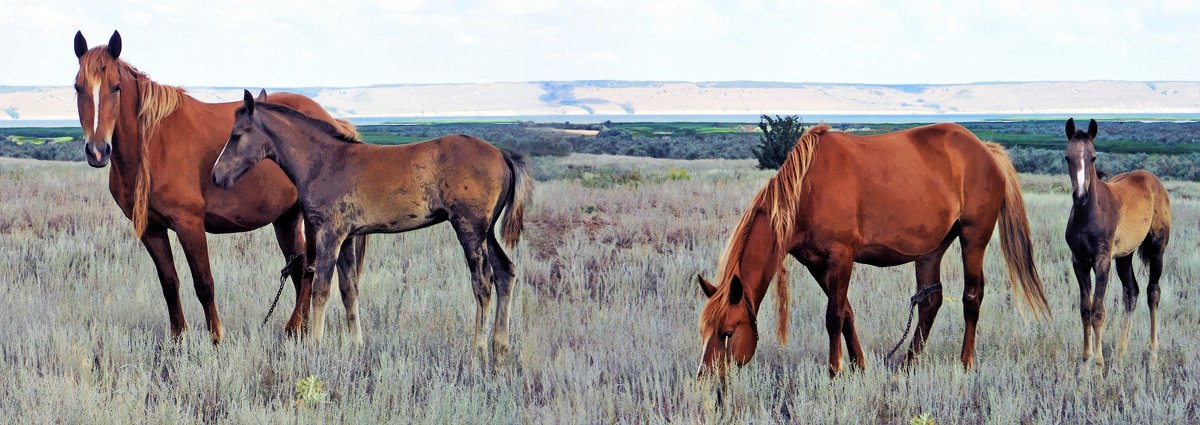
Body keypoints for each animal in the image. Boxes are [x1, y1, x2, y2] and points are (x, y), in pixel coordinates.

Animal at [72, 30, 362, 340]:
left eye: (116, 87)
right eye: (78, 87)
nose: (98, 151)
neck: (152, 145)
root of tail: (333, 122)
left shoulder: (189, 224)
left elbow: (204, 284)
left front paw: (215, 338)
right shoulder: (152, 229)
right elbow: (169, 283)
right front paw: (178, 339)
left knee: (309, 269)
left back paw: (294, 328)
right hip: (286, 217)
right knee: (299, 270)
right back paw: (299, 330)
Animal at [213, 89, 532, 362]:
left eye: (236, 134)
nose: (217, 176)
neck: (324, 162)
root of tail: (503, 155)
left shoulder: (330, 234)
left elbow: (321, 289)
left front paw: (315, 346)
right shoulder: (348, 238)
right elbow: (349, 290)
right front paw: (356, 345)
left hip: (470, 229)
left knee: (483, 282)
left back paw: (478, 351)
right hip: (486, 232)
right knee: (506, 273)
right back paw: (500, 348)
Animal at [696, 123, 1051, 379]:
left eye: (727, 333)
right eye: (704, 331)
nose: (705, 377)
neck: (806, 192)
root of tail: (984, 149)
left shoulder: (841, 258)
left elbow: (834, 317)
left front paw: (835, 371)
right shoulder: (817, 264)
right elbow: (847, 314)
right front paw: (859, 366)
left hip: (973, 237)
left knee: (971, 297)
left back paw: (965, 363)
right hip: (931, 249)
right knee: (930, 301)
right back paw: (909, 364)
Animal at [1065, 117, 1166, 362]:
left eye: (1093, 157)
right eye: (1067, 157)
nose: (1080, 196)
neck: (1089, 215)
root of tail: (1153, 180)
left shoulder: (1102, 261)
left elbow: (1098, 311)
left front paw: (1098, 364)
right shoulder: (1079, 262)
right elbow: (1085, 309)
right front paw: (1085, 361)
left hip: (1157, 248)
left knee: (1153, 292)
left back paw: (1152, 353)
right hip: (1124, 256)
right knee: (1131, 292)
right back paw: (1120, 354)